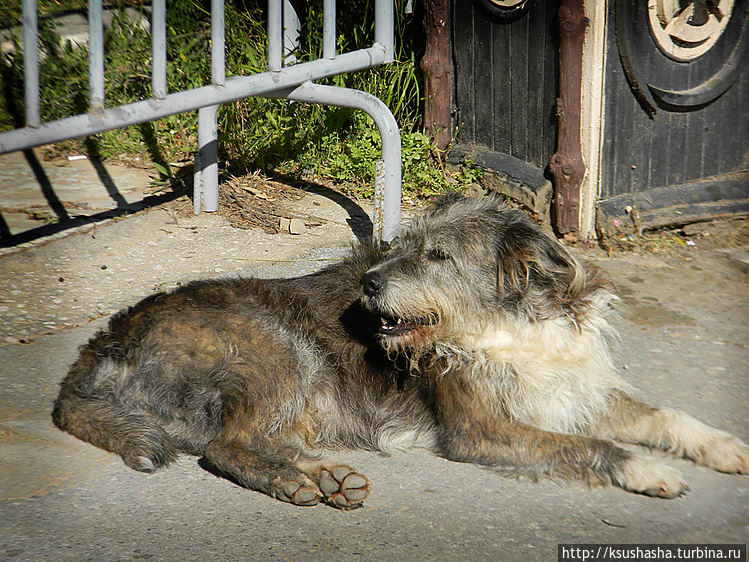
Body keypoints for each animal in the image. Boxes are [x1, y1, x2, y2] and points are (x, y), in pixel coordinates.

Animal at [54, 195, 748, 506]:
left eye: (437, 256)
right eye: (406, 245)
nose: (369, 283)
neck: (509, 326)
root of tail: (105, 341)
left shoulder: (578, 391)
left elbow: (664, 415)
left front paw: (723, 447)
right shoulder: (481, 429)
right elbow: (589, 447)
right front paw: (646, 469)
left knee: (256, 441)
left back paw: (325, 475)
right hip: (280, 350)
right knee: (226, 448)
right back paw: (299, 483)